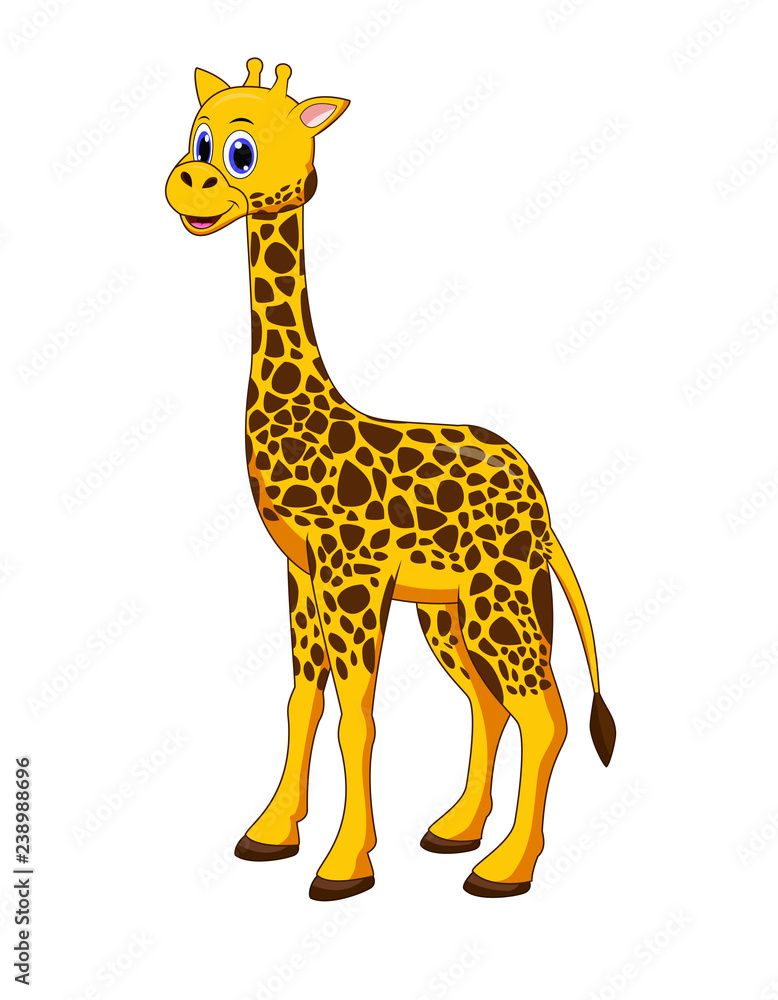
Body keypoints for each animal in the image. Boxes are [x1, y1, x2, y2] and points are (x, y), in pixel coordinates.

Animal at [165, 58, 616, 901]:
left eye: (242, 151)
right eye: (199, 139)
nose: (187, 184)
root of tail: (541, 502)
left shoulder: (352, 574)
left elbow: (357, 716)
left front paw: (344, 866)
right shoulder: (302, 574)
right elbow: (302, 701)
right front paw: (271, 833)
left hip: (497, 594)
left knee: (544, 710)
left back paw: (504, 870)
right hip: (450, 609)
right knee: (492, 703)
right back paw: (457, 831)